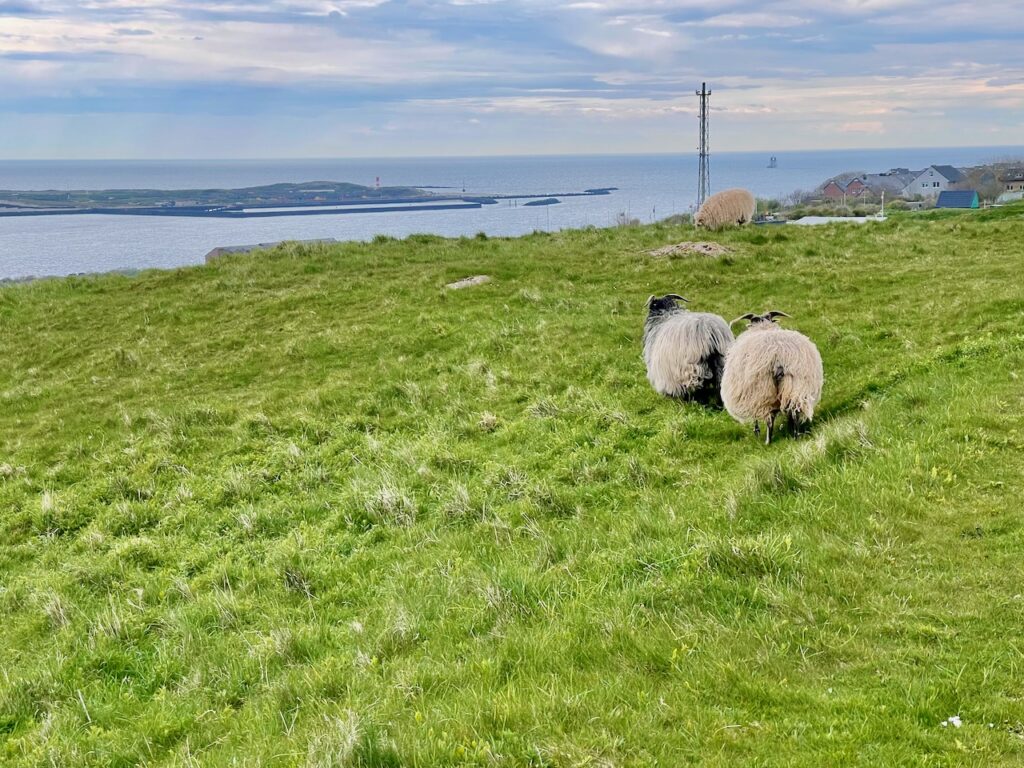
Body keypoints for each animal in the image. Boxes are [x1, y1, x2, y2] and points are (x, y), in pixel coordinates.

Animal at [720, 311, 823, 444]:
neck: (764, 327)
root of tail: (778, 355)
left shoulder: (751, 397)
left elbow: (756, 420)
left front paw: (756, 431)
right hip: (797, 387)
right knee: (795, 411)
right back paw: (795, 436)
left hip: (763, 392)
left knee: (769, 419)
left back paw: (768, 441)